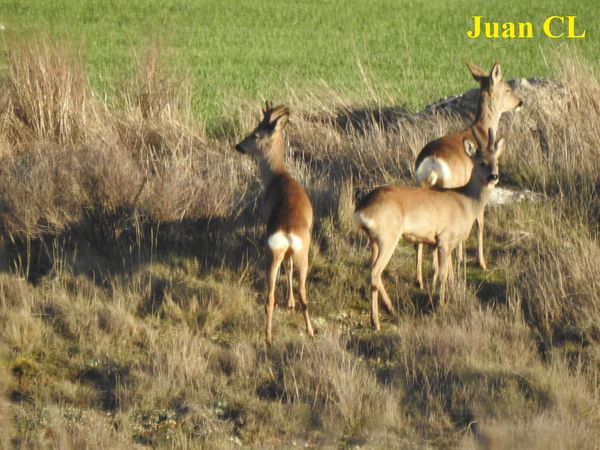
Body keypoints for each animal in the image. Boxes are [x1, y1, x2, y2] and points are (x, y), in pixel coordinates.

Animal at [233, 101, 314, 344]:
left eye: (255, 134)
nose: (238, 146)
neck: (278, 177)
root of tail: (287, 230)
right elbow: (288, 269)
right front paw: (289, 303)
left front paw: (289, 303)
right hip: (297, 253)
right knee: (296, 290)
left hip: (279, 252)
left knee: (274, 293)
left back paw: (271, 335)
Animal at [354, 126, 504, 330]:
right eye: (481, 162)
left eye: (497, 161)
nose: (493, 176)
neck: (465, 202)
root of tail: (363, 208)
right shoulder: (444, 239)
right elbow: (442, 274)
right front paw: (439, 305)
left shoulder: (441, 242)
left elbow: (441, 272)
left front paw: (439, 298)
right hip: (388, 237)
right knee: (375, 272)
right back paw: (376, 322)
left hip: (374, 240)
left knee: (373, 270)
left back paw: (391, 308)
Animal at [412, 61, 520, 288]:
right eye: (507, 88)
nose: (520, 102)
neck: (480, 129)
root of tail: (431, 162)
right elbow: (479, 224)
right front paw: (481, 262)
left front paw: (461, 257)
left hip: (421, 187)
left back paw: (420, 279)